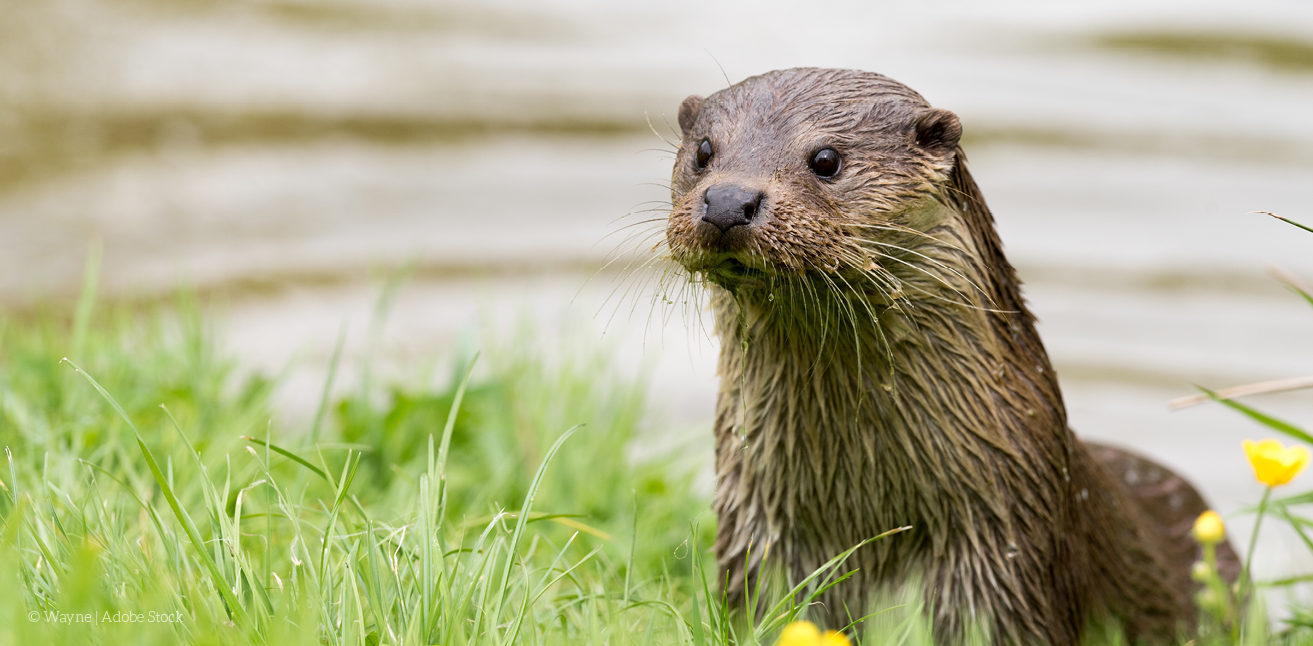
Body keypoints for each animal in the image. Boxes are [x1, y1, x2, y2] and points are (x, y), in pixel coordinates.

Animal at [667, 68, 1239, 643]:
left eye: (826, 159)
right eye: (704, 150)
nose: (728, 200)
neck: (867, 504)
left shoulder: (1003, 545)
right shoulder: (756, 524)